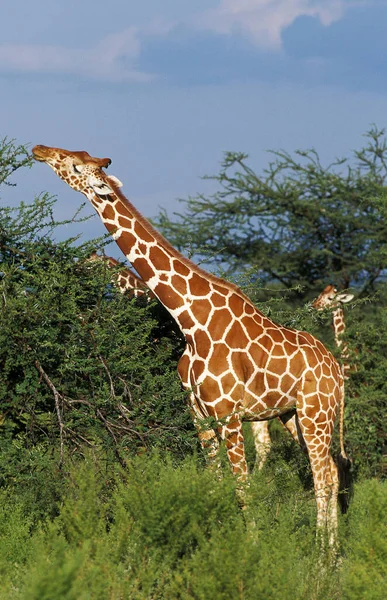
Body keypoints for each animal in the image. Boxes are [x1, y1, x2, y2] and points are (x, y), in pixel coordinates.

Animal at [32, 144, 352, 544]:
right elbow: (214, 484)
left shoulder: (229, 415)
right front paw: (210, 545)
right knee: (329, 472)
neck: (191, 323)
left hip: (317, 413)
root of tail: (336, 370)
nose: (39, 150)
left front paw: (251, 548)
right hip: (292, 414)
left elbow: (243, 488)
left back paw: (323, 553)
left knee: (323, 475)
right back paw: (329, 551)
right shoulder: (198, 415)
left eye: (75, 164)